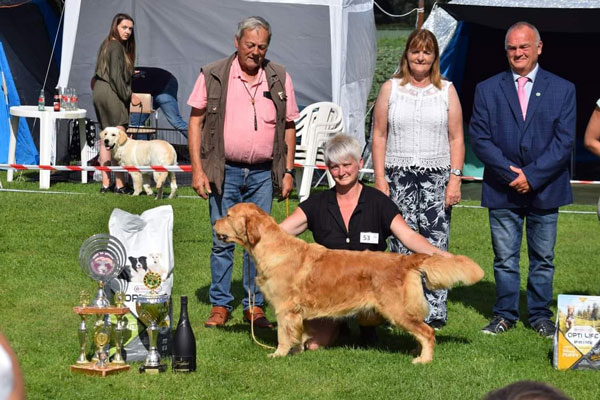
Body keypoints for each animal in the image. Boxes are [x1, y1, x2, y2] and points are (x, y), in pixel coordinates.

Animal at [213, 203, 486, 362]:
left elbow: (283, 334)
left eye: (227, 215)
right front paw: (297, 351)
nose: (214, 222)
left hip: (396, 309)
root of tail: (404, 259)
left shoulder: (285, 308)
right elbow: (298, 334)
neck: (271, 248)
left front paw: (278, 354)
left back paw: (423, 359)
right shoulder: (296, 312)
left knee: (427, 332)